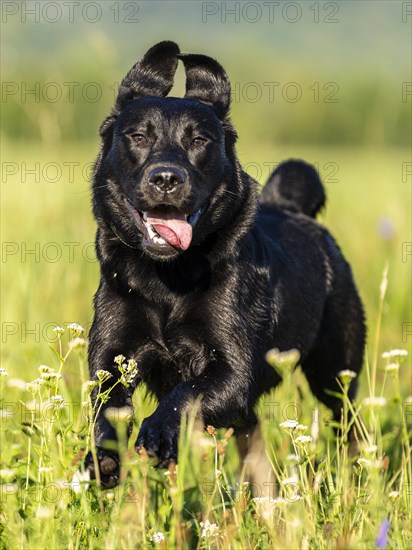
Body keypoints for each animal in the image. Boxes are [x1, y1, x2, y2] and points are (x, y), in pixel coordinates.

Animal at [86, 44, 364, 492]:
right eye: (138, 137)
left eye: (199, 140)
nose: (166, 178)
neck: (168, 279)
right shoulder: (111, 357)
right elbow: (107, 406)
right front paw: (104, 456)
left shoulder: (232, 370)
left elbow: (184, 396)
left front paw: (157, 433)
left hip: (335, 370)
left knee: (349, 425)